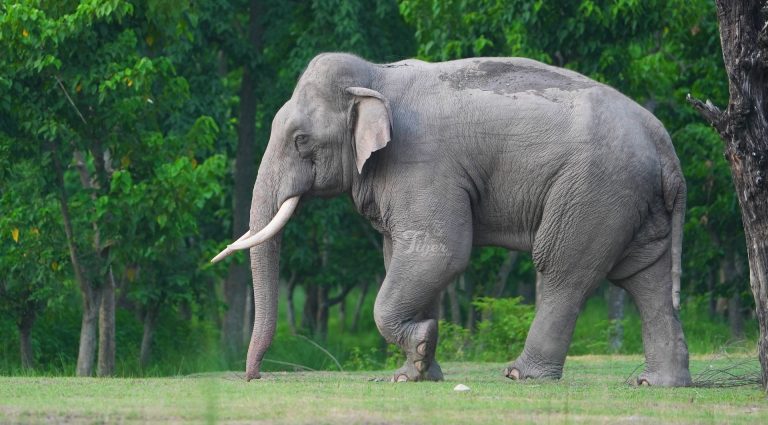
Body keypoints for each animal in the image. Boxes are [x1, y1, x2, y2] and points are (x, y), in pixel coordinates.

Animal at [212, 52, 692, 387]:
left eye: (301, 140)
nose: (254, 377)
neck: (375, 76)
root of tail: (664, 143)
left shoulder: (420, 163)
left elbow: (440, 252)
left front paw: (422, 345)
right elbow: (401, 255)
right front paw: (415, 373)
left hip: (595, 189)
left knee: (563, 268)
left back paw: (521, 376)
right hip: (634, 199)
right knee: (645, 277)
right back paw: (656, 383)